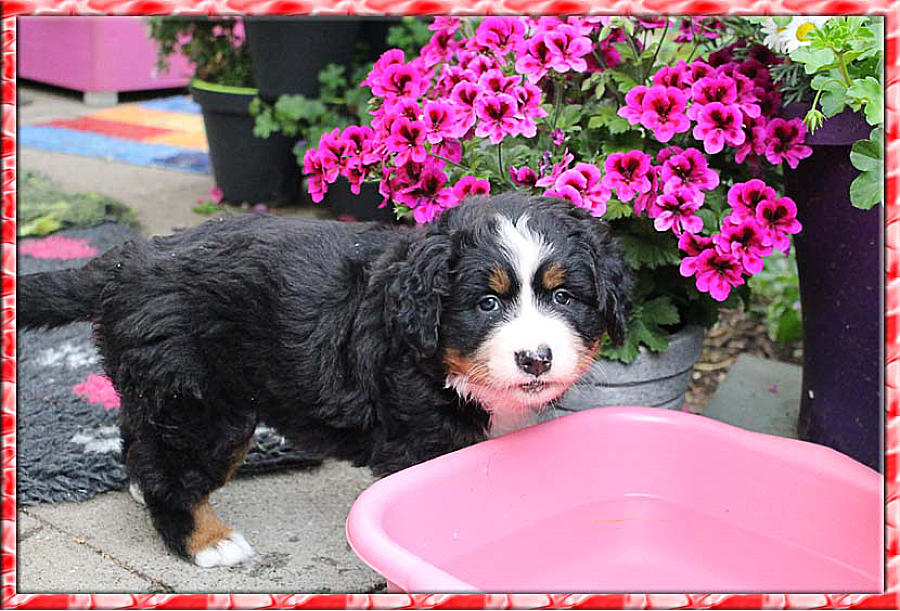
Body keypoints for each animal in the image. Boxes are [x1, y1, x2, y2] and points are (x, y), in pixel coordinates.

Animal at [18, 192, 630, 567]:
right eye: (486, 303)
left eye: (563, 297)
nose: (535, 358)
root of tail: (126, 262)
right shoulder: (418, 438)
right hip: (203, 404)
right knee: (173, 471)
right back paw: (206, 542)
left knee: (141, 443)